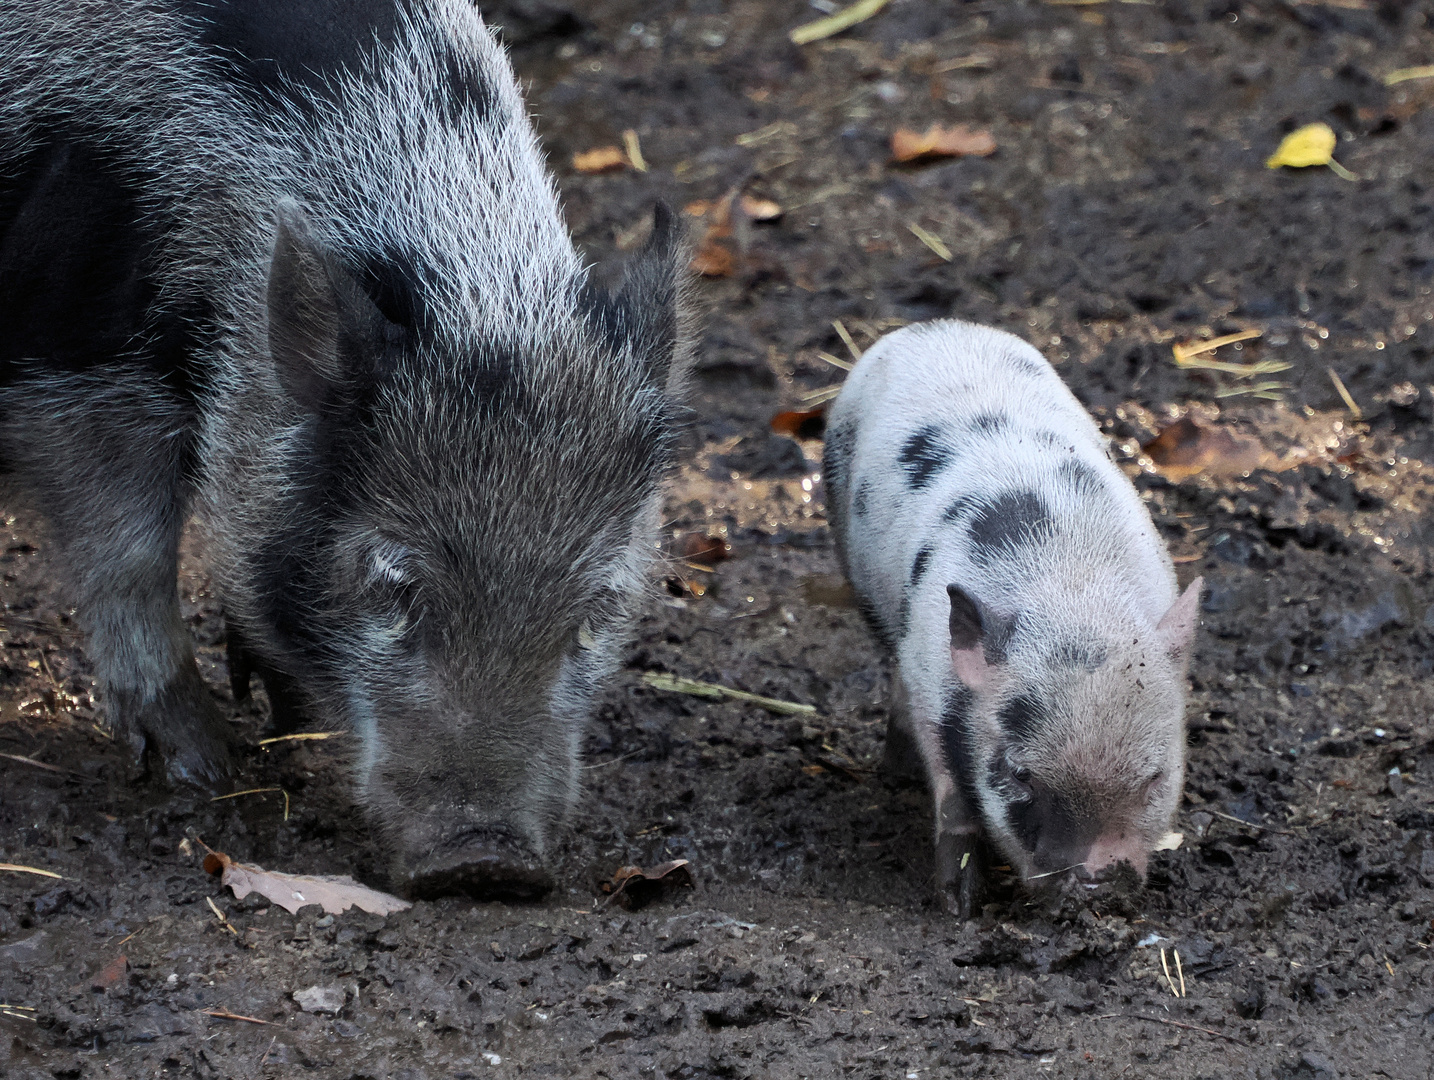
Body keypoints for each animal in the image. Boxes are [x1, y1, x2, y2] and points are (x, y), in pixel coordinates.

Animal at [0, 0, 688, 894]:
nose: (486, 862)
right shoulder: (74, 346)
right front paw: (203, 770)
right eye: (394, 583)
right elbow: (127, 549)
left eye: (597, 609)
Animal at [825, 318, 1193, 912]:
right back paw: (896, 771)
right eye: (1021, 774)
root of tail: (931, 328)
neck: (1072, 592)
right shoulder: (931, 681)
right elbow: (953, 798)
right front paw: (960, 907)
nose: (1094, 880)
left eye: (1155, 776)